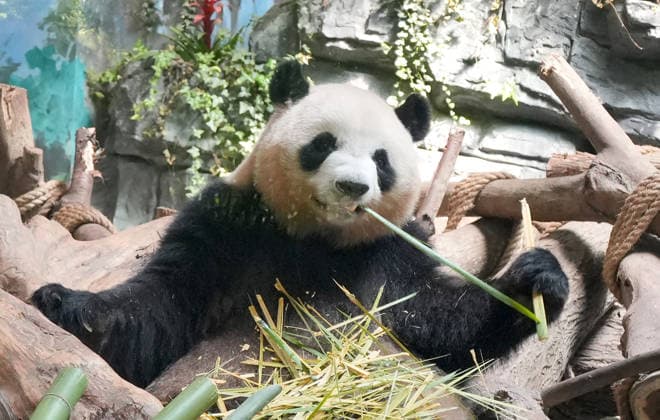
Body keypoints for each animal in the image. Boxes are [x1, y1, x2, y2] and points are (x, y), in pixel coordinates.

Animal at [32, 60, 569, 389]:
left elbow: (437, 322)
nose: (352, 186)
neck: (320, 241)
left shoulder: (389, 253)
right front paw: (65, 304)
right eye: (324, 144)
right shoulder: (230, 225)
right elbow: (162, 307)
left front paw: (535, 282)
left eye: (381, 161)